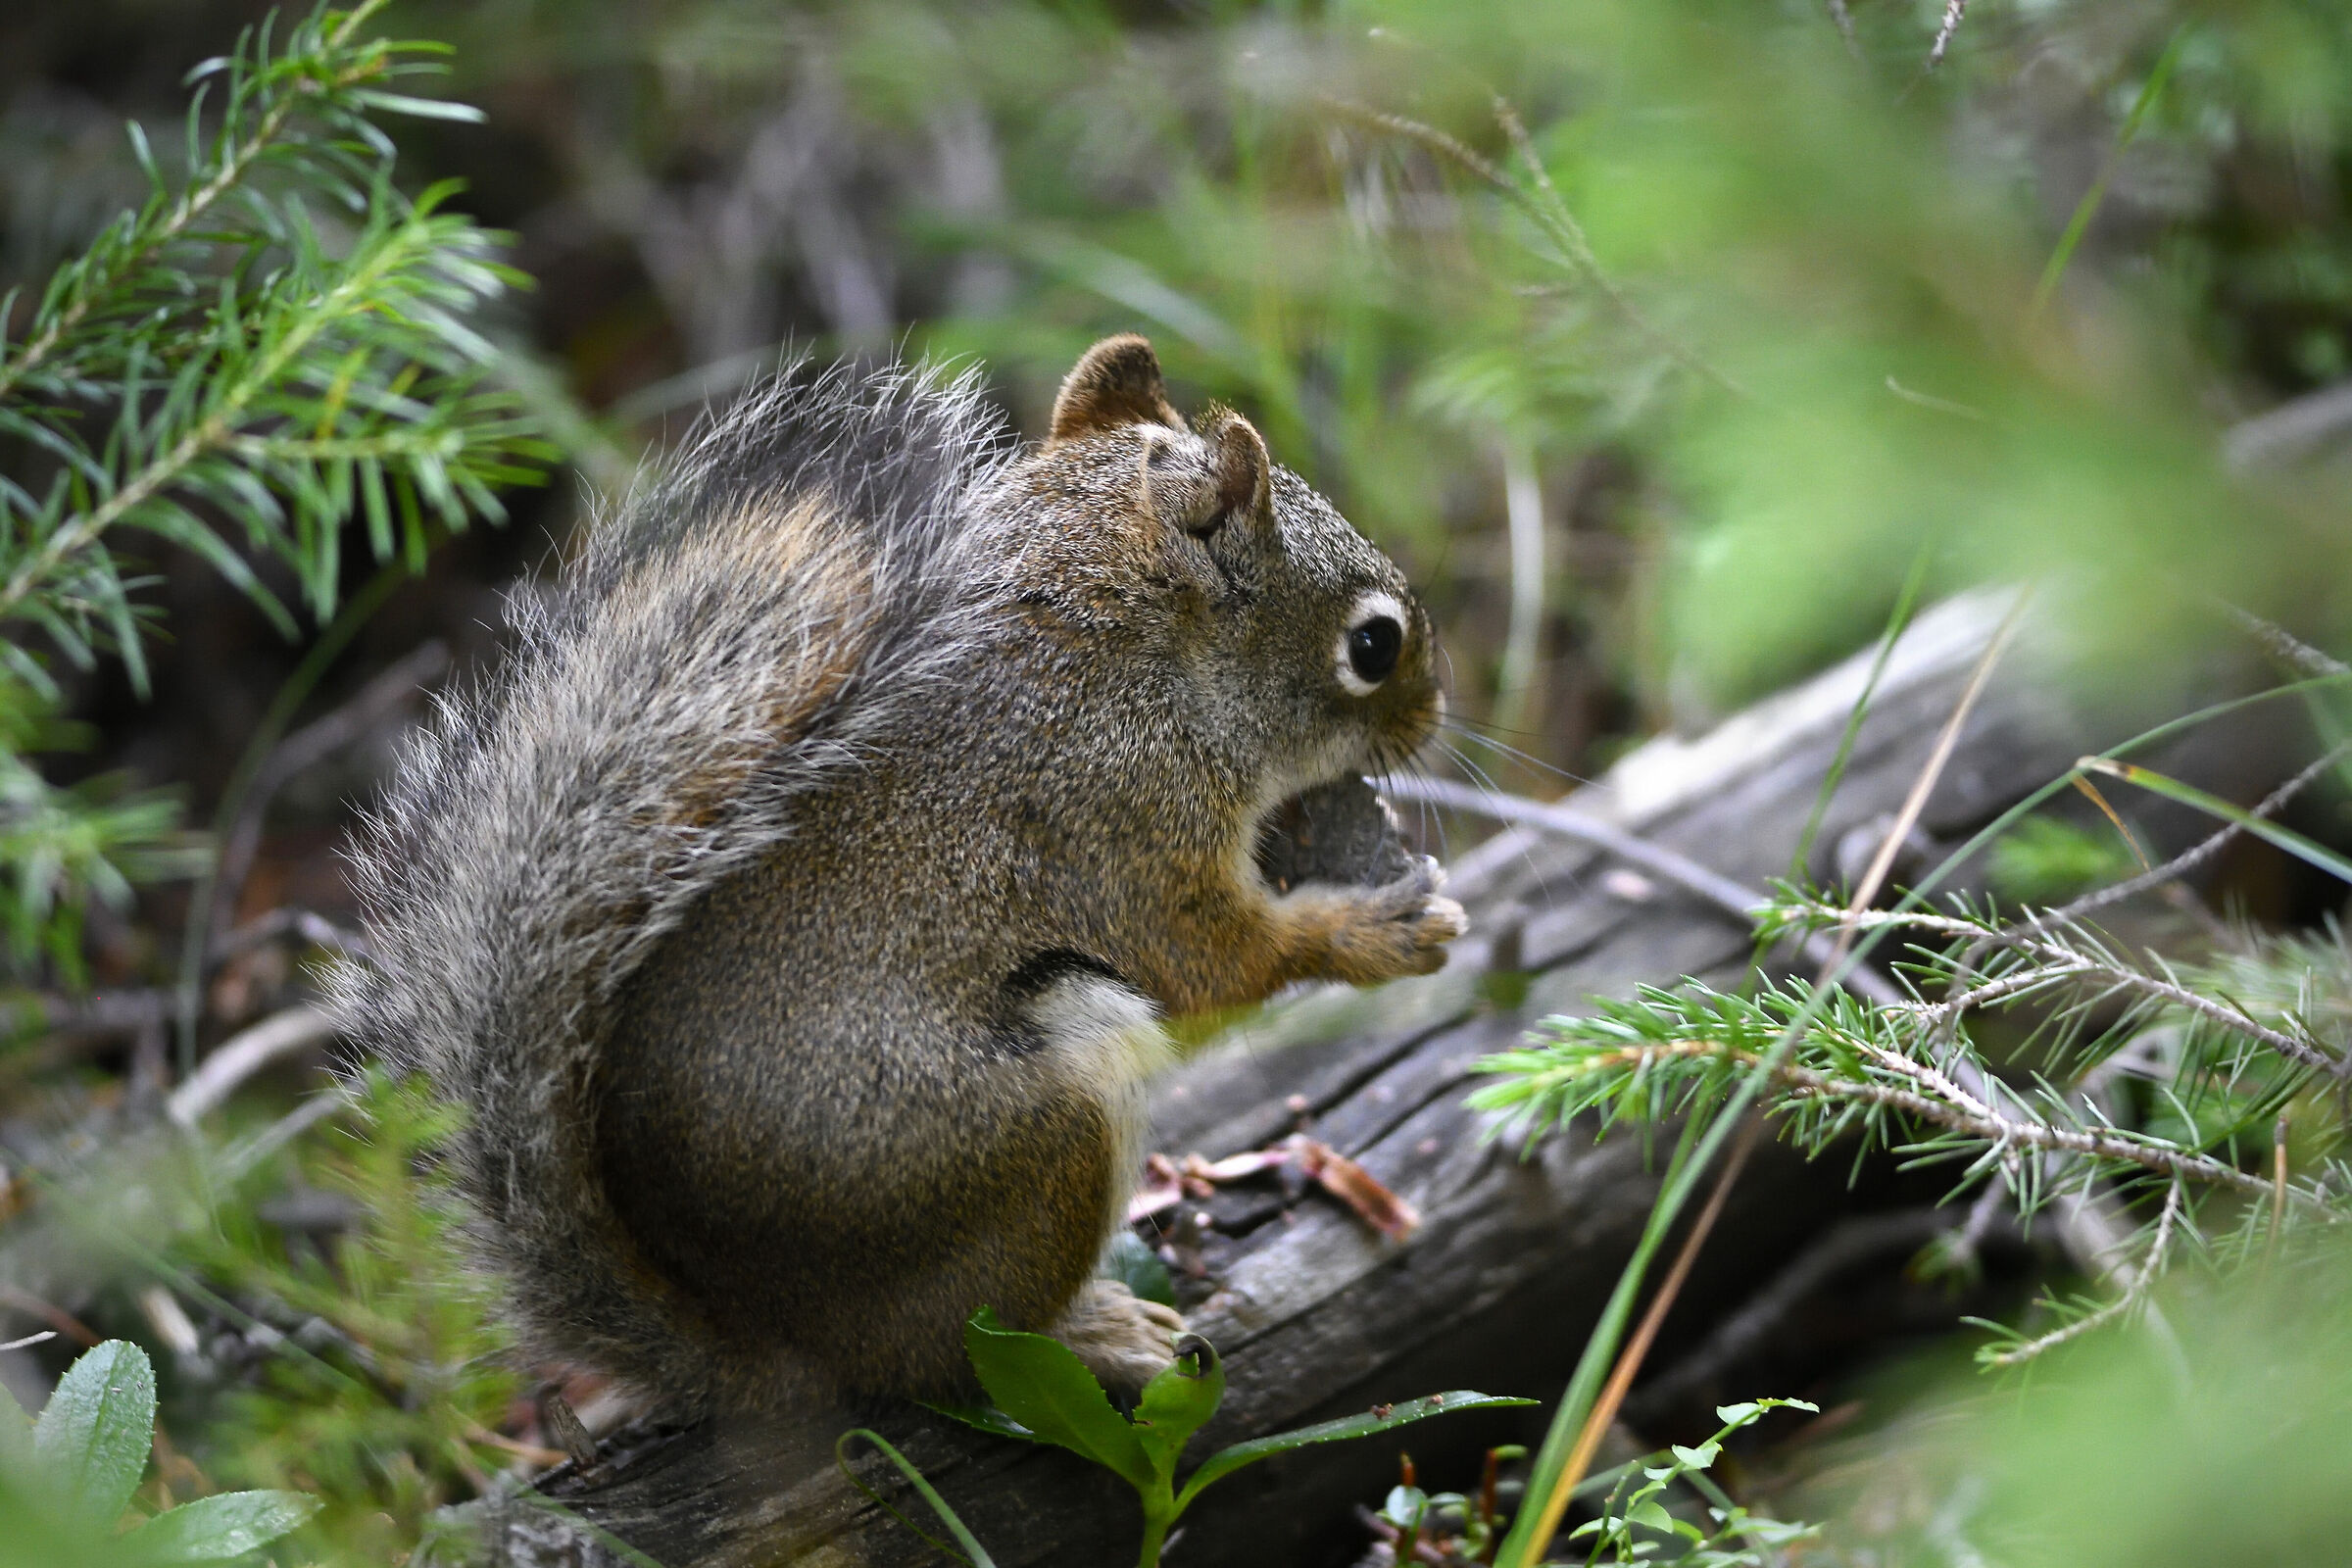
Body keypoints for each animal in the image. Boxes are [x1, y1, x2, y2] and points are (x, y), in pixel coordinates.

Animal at [336, 335, 1466, 1416]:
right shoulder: (1119, 820)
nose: (1434, 716)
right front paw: (1379, 930)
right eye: (1373, 644)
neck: (1128, 646)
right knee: (950, 1357)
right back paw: (1091, 1334)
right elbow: (1210, 961)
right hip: (1030, 1141)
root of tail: (779, 1347)